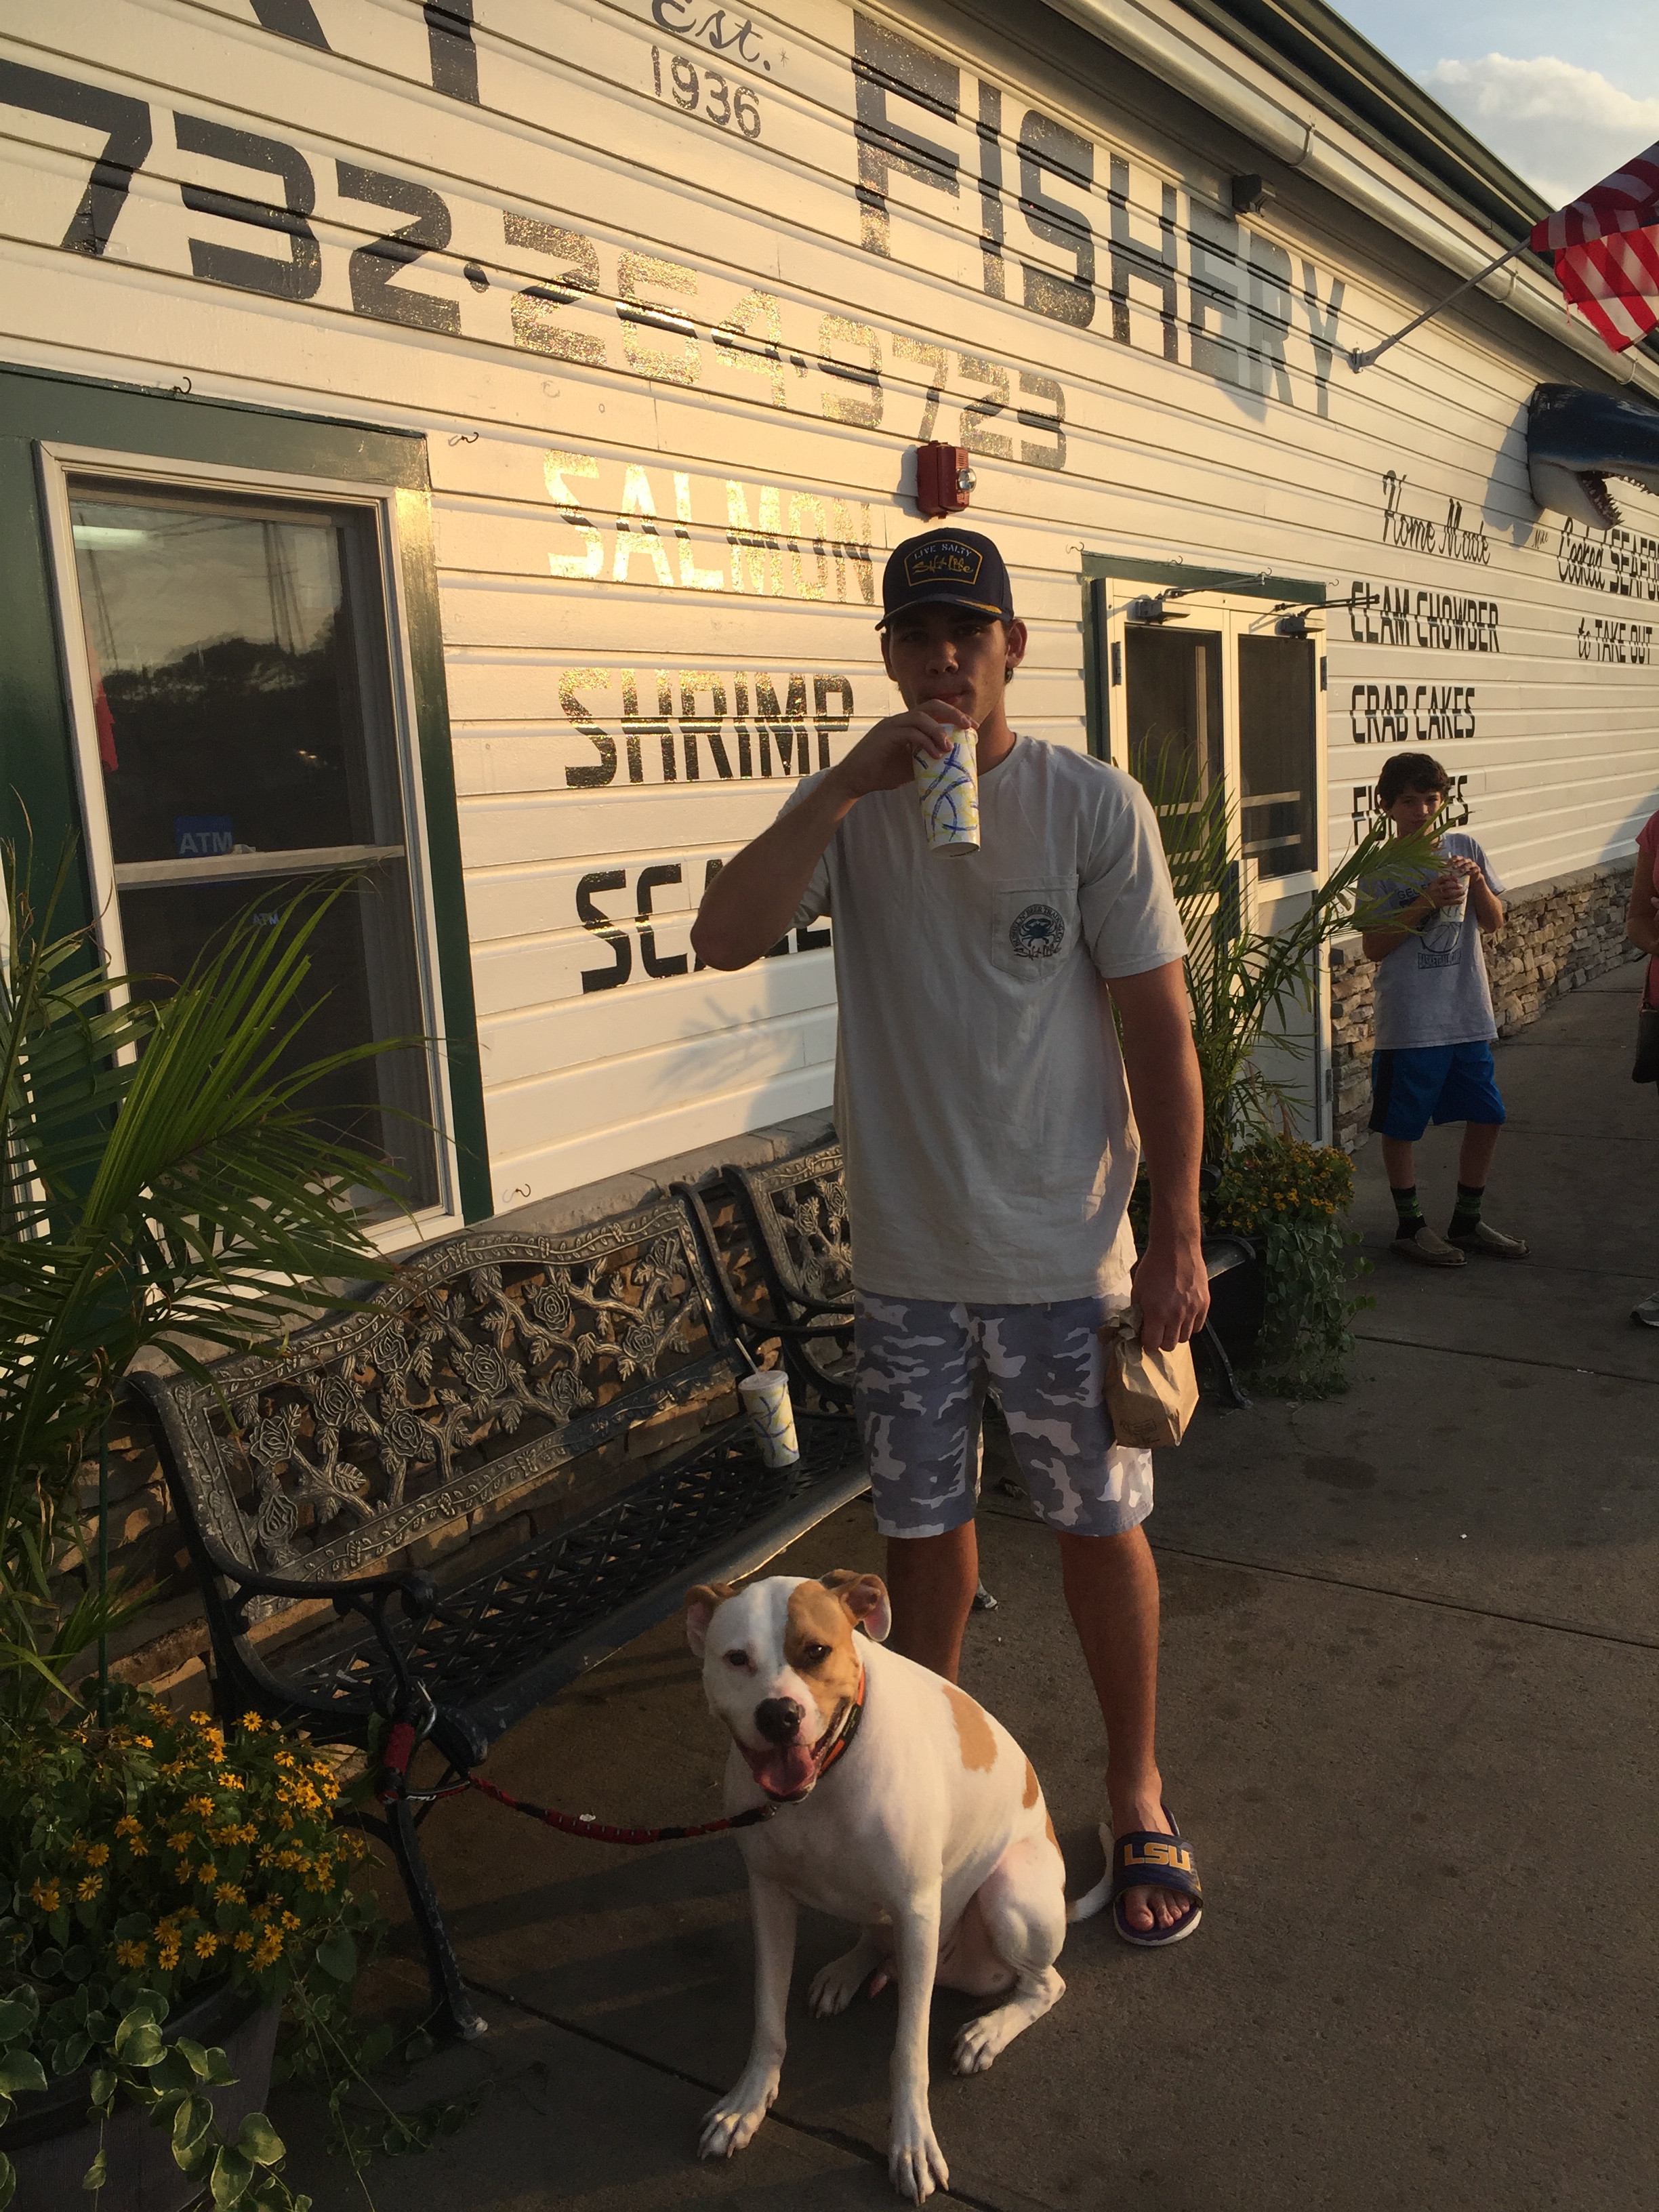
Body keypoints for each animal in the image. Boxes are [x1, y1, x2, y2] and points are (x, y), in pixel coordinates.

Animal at [686, 1569, 1066, 2203]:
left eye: (816, 1651)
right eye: (737, 1659)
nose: (778, 1715)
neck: (827, 1777)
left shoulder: (917, 1911)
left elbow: (908, 2050)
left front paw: (911, 2143)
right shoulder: (769, 1895)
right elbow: (767, 2017)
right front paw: (748, 2101)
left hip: (1010, 1897)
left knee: (1046, 1985)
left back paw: (989, 2031)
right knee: (873, 1933)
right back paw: (849, 1970)